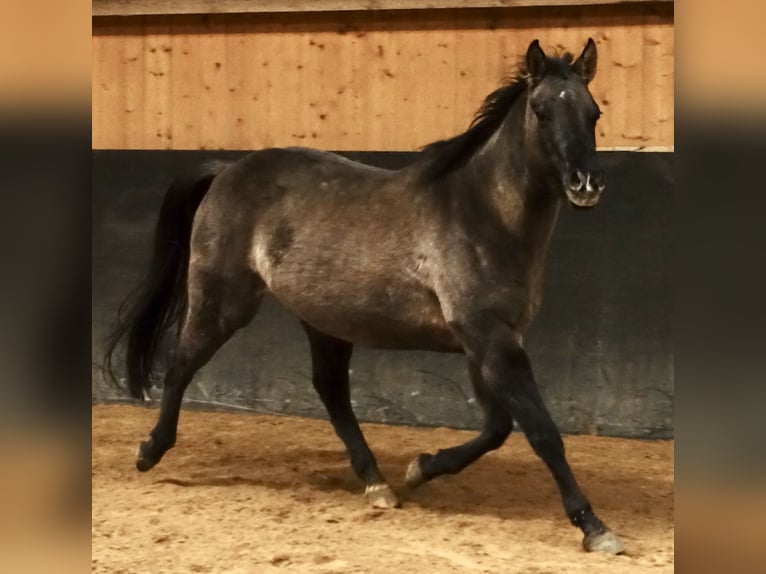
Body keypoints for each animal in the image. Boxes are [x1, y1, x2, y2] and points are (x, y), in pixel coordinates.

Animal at [105, 38, 628, 556]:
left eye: (594, 112)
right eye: (541, 111)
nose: (586, 183)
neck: (482, 215)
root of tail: (228, 169)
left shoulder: (488, 343)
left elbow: (497, 427)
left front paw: (421, 468)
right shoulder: (491, 340)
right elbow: (541, 431)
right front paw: (594, 527)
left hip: (324, 321)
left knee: (331, 390)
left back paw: (377, 483)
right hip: (223, 302)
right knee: (181, 364)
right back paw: (149, 452)